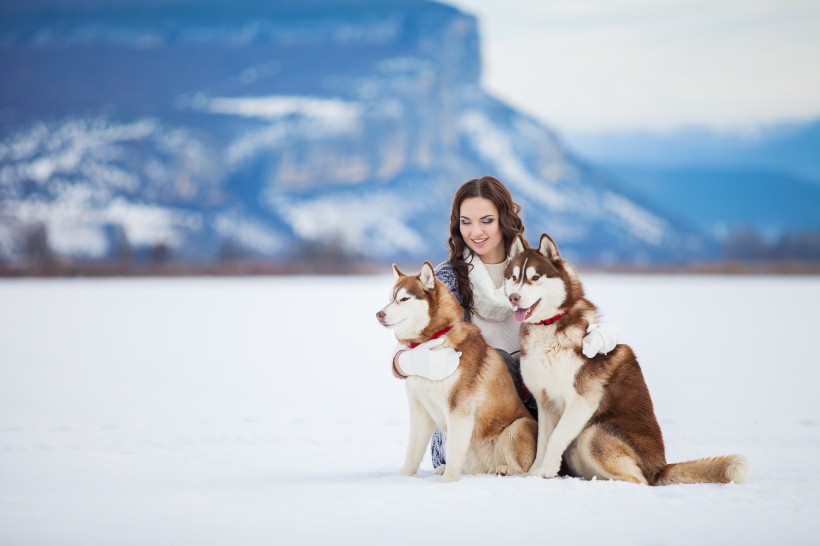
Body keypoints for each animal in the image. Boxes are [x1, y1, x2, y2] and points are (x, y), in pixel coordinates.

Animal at [378, 262, 540, 480]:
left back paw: (506, 470)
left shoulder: (459, 410)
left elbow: (454, 452)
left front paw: (448, 482)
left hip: (517, 427)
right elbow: (412, 452)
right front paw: (402, 477)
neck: (432, 339)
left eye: (404, 299)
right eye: (390, 298)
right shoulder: (420, 410)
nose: (379, 314)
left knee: (526, 472)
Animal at [500, 234, 748, 484]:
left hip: (593, 432)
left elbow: (557, 437)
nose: (513, 297)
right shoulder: (545, 401)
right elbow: (543, 442)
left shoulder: (583, 399)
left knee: (638, 481)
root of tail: (659, 468)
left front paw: (546, 471)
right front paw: (533, 473)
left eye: (535, 277)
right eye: (514, 277)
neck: (550, 327)